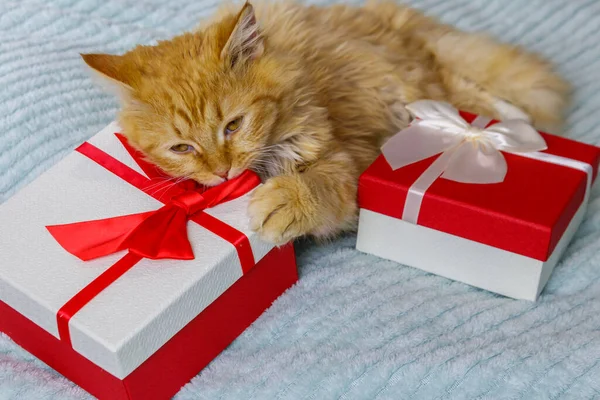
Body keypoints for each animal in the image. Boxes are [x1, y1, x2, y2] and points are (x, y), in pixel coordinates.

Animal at [82, 0, 568, 244]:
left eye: (233, 126)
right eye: (182, 148)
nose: (222, 172)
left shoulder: (343, 160)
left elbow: (319, 187)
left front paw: (285, 202)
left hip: (413, 82)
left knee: (466, 87)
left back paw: (516, 125)